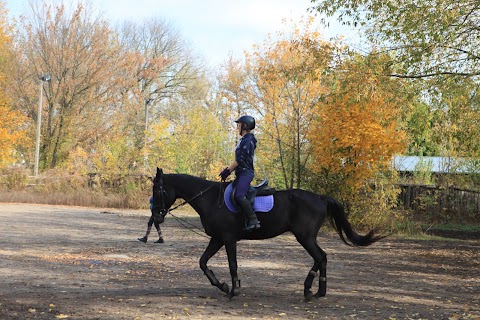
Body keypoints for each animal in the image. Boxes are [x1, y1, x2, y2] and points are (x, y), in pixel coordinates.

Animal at [152, 169, 384, 298]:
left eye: (158, 191)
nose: (156, 217)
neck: (210, 199)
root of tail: (319, 197)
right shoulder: (217, 238)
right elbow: (202, 262)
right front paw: (224, 286)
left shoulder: (228, 239)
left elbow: (232, 264)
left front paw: (234, 290)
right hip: (307, 237)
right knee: (322, 258)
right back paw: (319, 291)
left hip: (305, 237)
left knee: (320, 257)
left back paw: (310, 289)